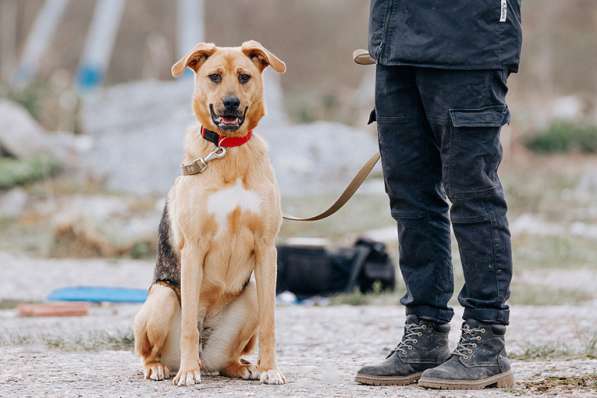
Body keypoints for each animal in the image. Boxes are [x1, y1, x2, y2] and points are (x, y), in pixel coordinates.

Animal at [133, 40, 286, 386]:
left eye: (244, 77)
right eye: (214, 76)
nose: (230, 103)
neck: (228, 150)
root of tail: (207, 358)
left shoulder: (266, 249)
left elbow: (271, 323)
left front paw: (270, 369)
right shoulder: (193, 249)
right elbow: (189, 322)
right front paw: (187, 374)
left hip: (253, 294)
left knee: (228, 357)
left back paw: (242, 366)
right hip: (160, 298)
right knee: (150, 350)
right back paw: (165, 368)